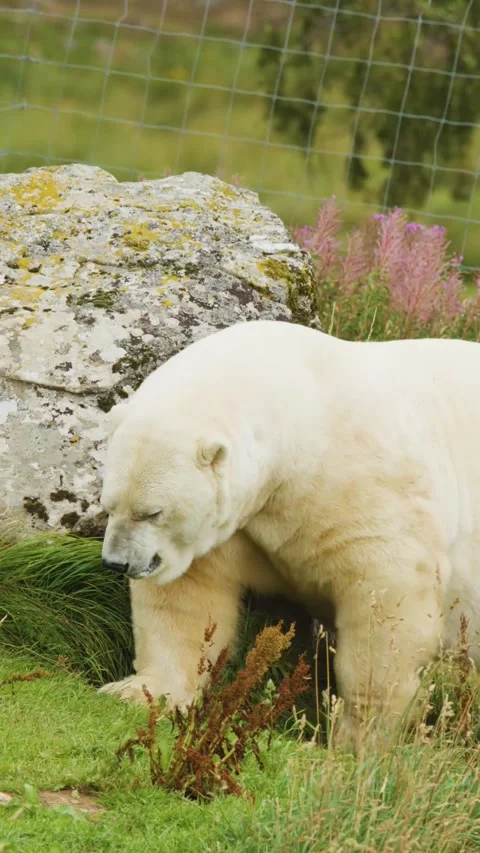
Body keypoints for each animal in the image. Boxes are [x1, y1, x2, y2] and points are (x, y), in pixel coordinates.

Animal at [98, 319, 480, 747]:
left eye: (151, 513)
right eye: (109, 505)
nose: (117, 562)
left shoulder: (362, 488)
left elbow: (384, 604)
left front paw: (357, 735)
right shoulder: (238, 524)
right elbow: (188, 598)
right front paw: (138, 691)